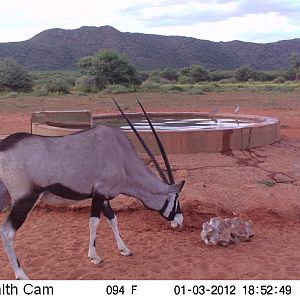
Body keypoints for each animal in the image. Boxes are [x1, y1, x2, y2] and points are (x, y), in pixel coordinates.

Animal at [0, 99, 185, 280]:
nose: (180, 220)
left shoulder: (105, 197)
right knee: (7, 231)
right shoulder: (100, 192)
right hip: (25, 199)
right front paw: (94, 257)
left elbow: (113, 220)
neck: (122, 157)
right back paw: (21, 275)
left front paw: (124, 249)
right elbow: (94, 222)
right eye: (175, 198)